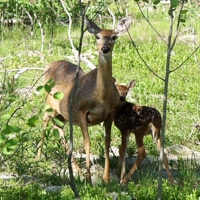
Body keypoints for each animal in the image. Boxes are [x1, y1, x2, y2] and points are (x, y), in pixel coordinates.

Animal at [36, 16, 133, 183]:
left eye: (114, 37)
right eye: (97, 36)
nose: (105, 49)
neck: (100, 96)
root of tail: (48, 65)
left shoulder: (110, 113)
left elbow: (107, 141)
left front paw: (106, 178)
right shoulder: (80, 110)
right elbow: (87, 142)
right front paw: (89, 179)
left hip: (63, 115)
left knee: (58, 127)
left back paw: (76, 168)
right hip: (49, 105)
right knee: (45, 121)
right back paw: (38, 157)